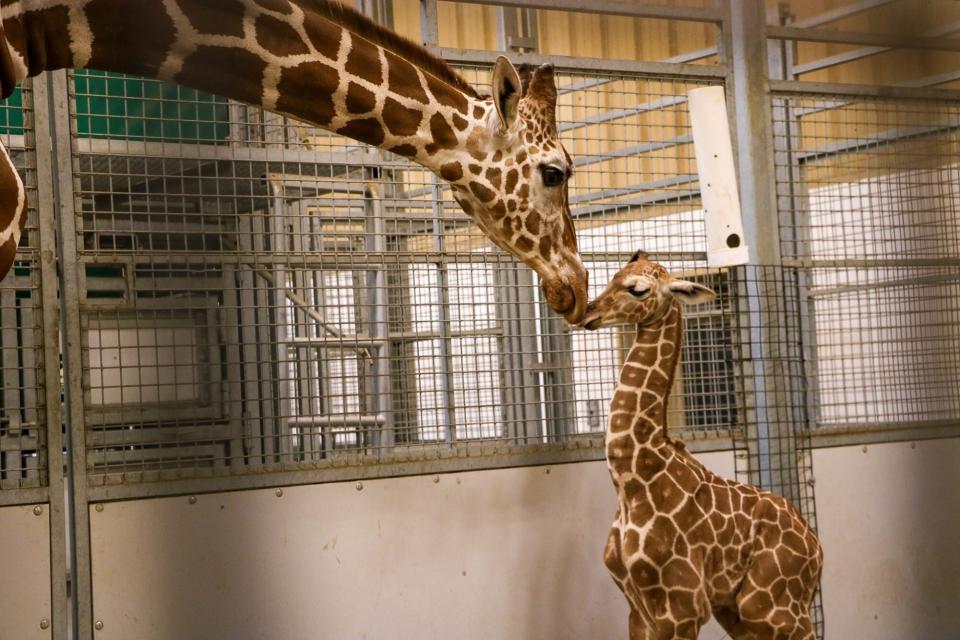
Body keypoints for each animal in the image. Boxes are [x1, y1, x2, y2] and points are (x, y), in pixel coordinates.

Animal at [580, 252, 820, 640]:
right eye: (615, 275)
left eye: (637, 289)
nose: (590, 313)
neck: (632, 480)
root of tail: (817, 548)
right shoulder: (637, 611)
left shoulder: (681, 607)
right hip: (738, 613)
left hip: (771, 607)